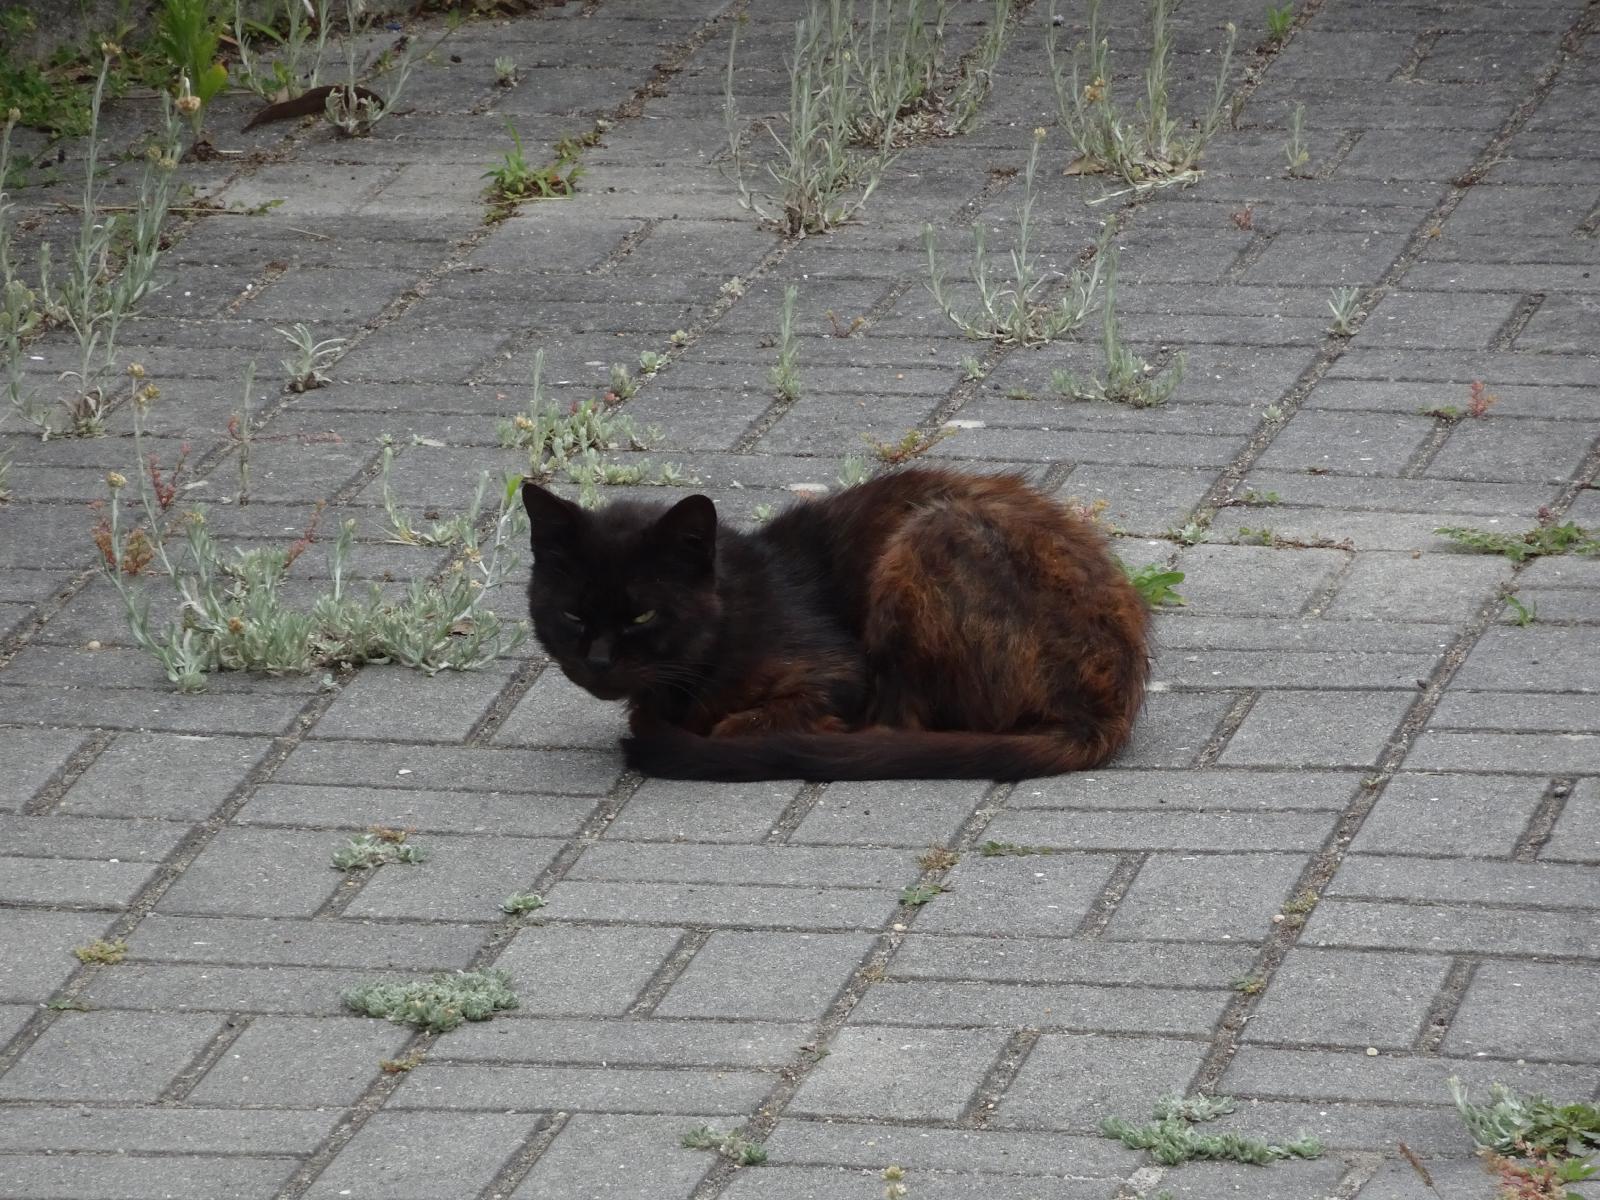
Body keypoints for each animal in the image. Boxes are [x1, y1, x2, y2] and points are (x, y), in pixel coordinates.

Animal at [521, 467, 1150, 781]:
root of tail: (1110, 702)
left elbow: (740, 724)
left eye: (643, 615)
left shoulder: (837, 674)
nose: (599, 661)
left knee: (903, 725)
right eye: (572, 614)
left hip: (929, 535)